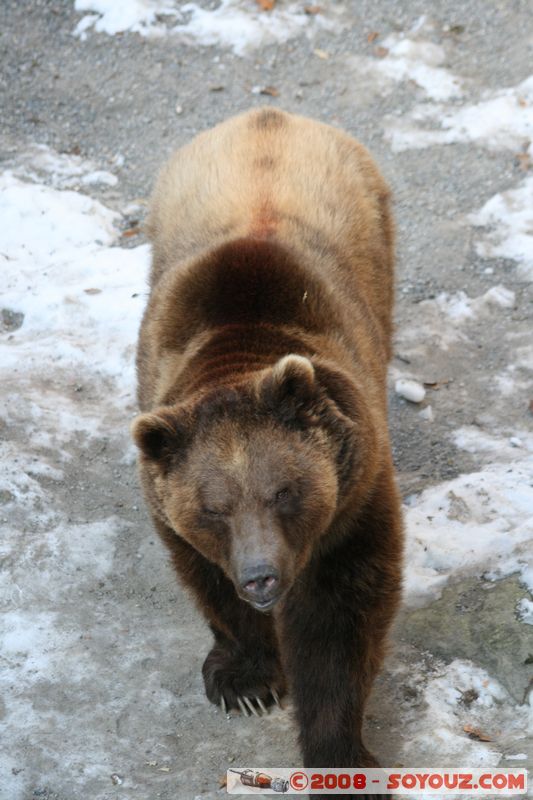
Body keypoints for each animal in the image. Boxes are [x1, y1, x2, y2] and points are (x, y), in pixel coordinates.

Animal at [131, 108, 402, 792]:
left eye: (284, 490)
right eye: (214, 507)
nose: (262, 576)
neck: (240, 346)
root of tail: (269, 114)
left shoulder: (354, 498)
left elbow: (339, 619)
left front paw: (340, 751)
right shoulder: (167, 500)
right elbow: (207, 578)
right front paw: (246, 681)